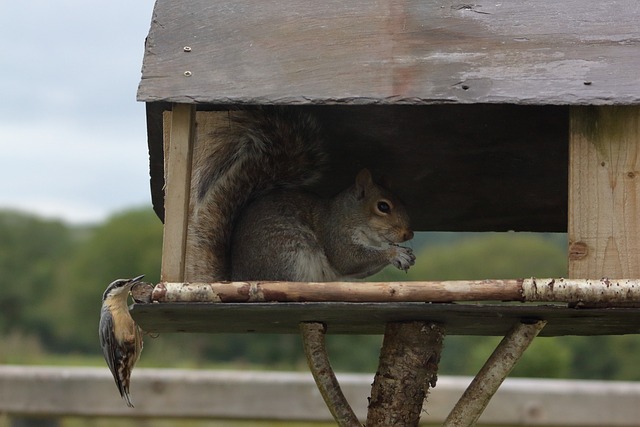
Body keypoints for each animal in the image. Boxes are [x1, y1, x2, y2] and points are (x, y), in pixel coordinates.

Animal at [185, 108, 416, 282]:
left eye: (403, 201)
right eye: (383, 206)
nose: (408, 234)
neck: (351, 215)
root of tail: (236, 278)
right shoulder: (335, 233)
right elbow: (348, 259)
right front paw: (396, 253)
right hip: (289, 253)